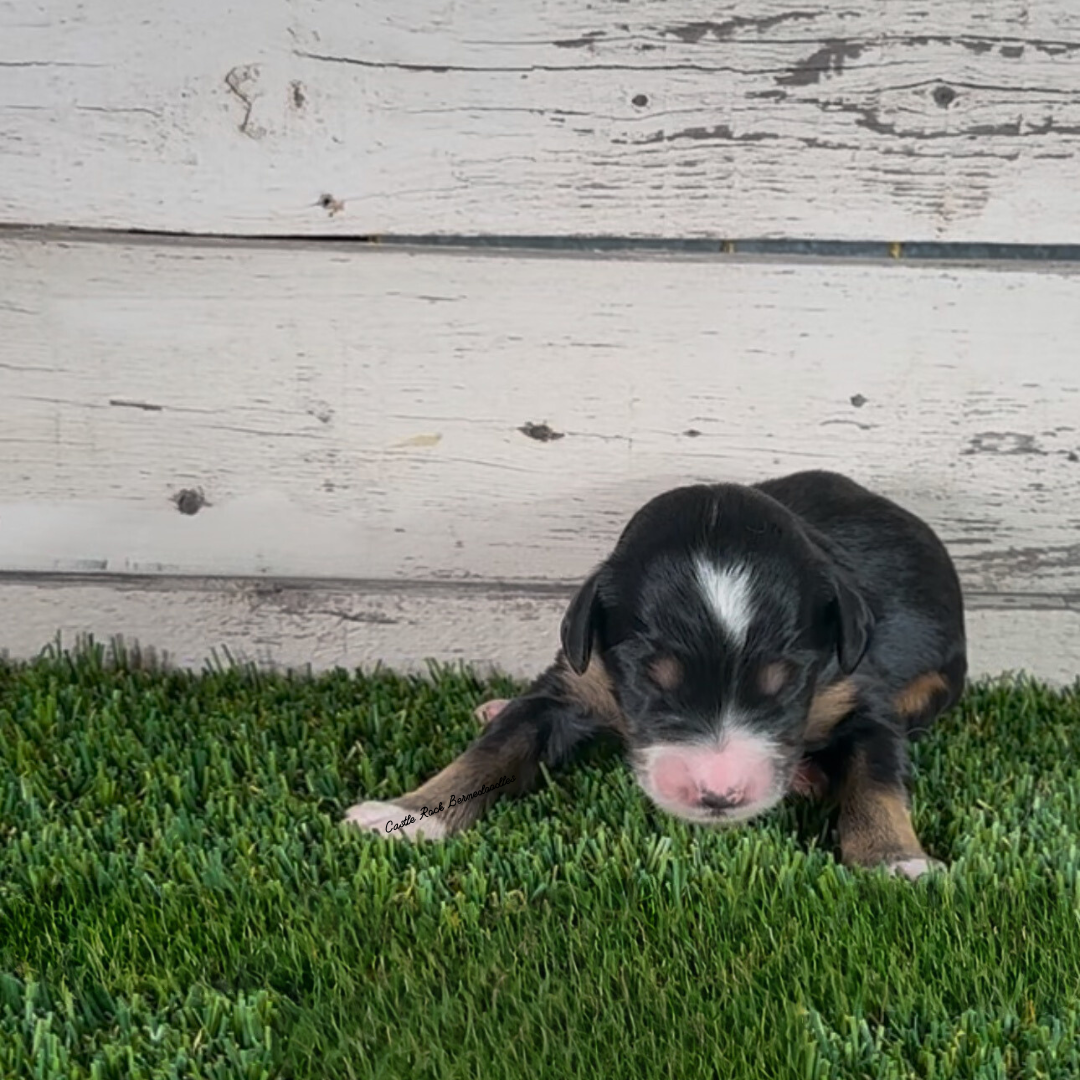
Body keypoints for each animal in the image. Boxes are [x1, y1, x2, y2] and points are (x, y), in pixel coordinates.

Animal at [349, 473, 967, 876]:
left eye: (787, 681)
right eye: (651, 679)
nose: (718, 796)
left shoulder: (861, 695)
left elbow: (876, 781)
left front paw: (895, 861)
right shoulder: (579, 677)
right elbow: (491, 751)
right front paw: (406, 813)